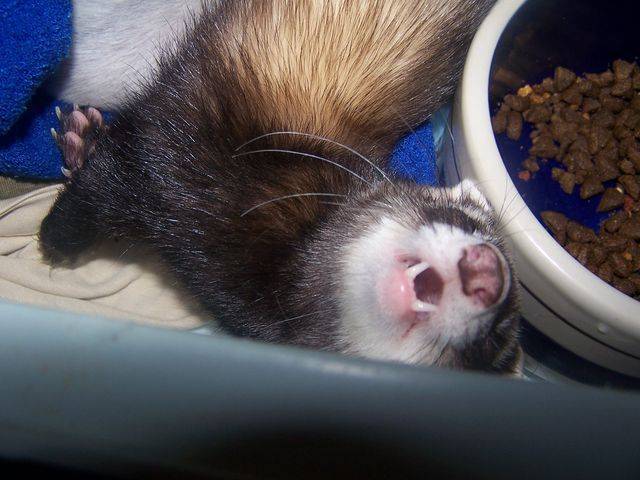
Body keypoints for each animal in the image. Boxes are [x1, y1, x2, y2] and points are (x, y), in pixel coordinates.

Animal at [41, 0, 522, 374]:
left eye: (494, 342)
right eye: (467, 220)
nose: (487, 272)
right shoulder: (169, 146)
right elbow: (103, 185)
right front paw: (55, 241)